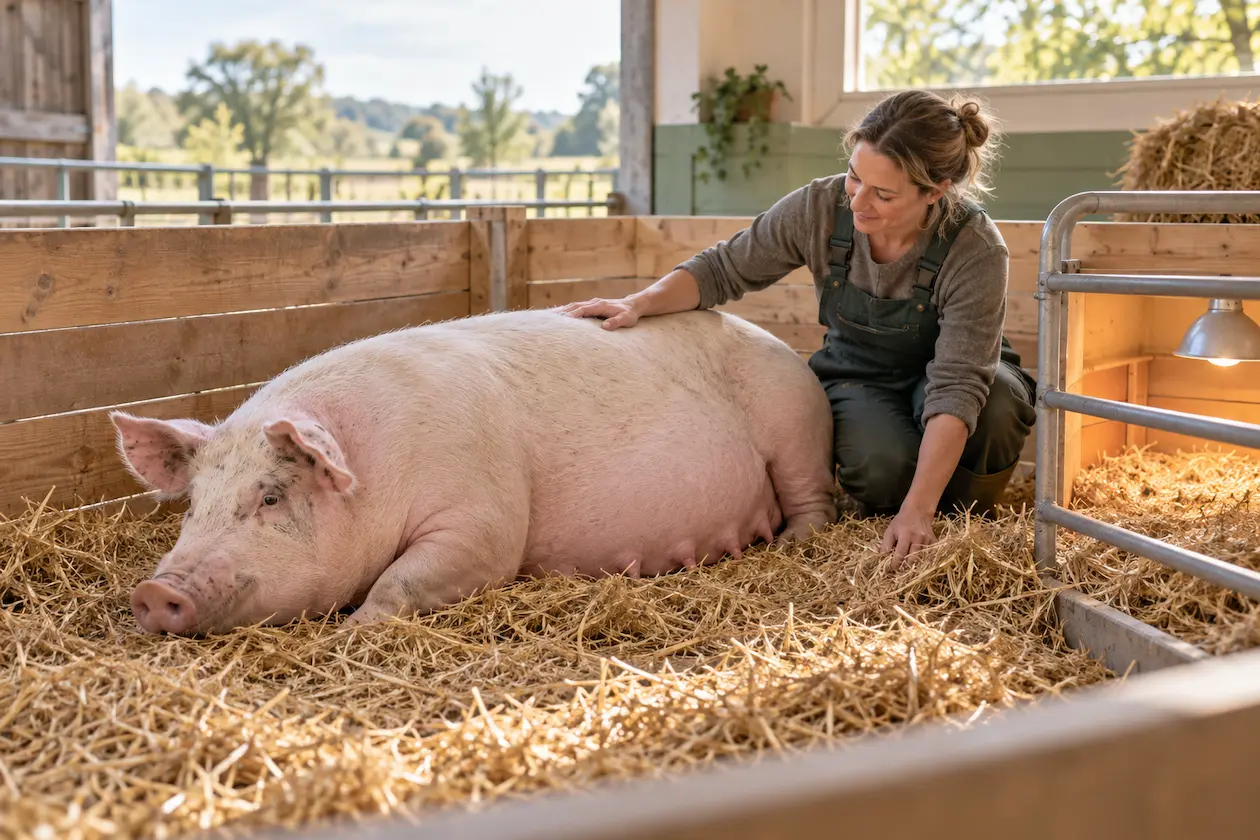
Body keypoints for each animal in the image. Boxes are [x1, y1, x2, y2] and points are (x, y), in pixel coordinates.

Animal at [110, 307, 838, 636]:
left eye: (268, 498)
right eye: (194, 503)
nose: (153, 591)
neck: (378, 467)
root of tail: (776, 340)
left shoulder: (484, 521)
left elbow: (405, 579)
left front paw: (353, 629)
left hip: (796, 427)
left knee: (815, 504)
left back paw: (792, 543)